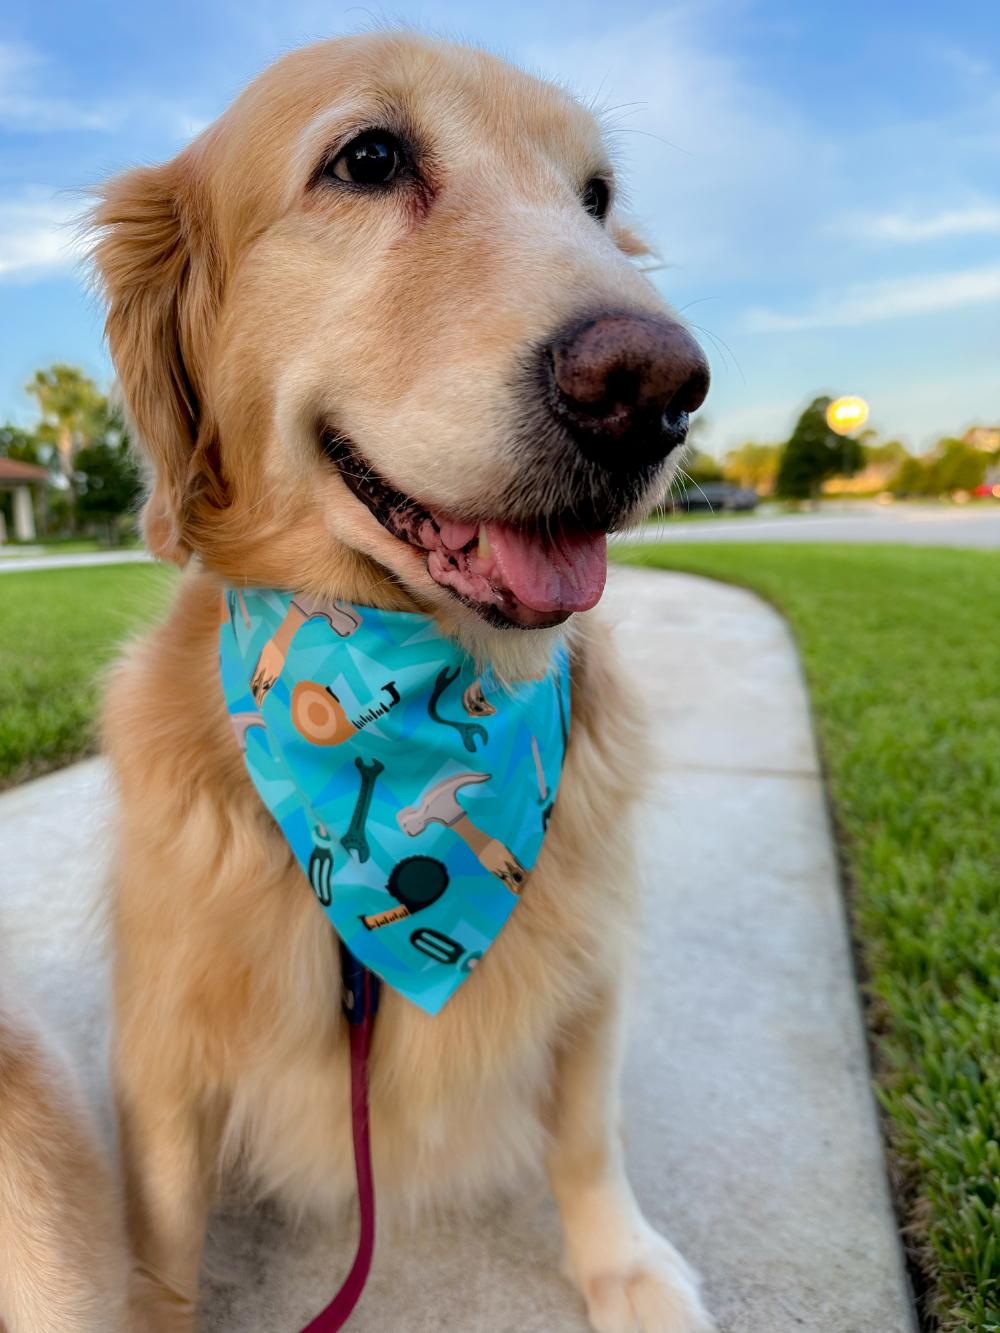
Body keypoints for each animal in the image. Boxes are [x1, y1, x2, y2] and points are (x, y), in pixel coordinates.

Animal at [88, 31, 714, 1333]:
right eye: (368, 159)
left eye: (595, 197)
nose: (657, 387)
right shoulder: (160, 1038)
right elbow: (160, 1237)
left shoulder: (591, 973)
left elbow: (587, 1128)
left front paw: (621, 1264)